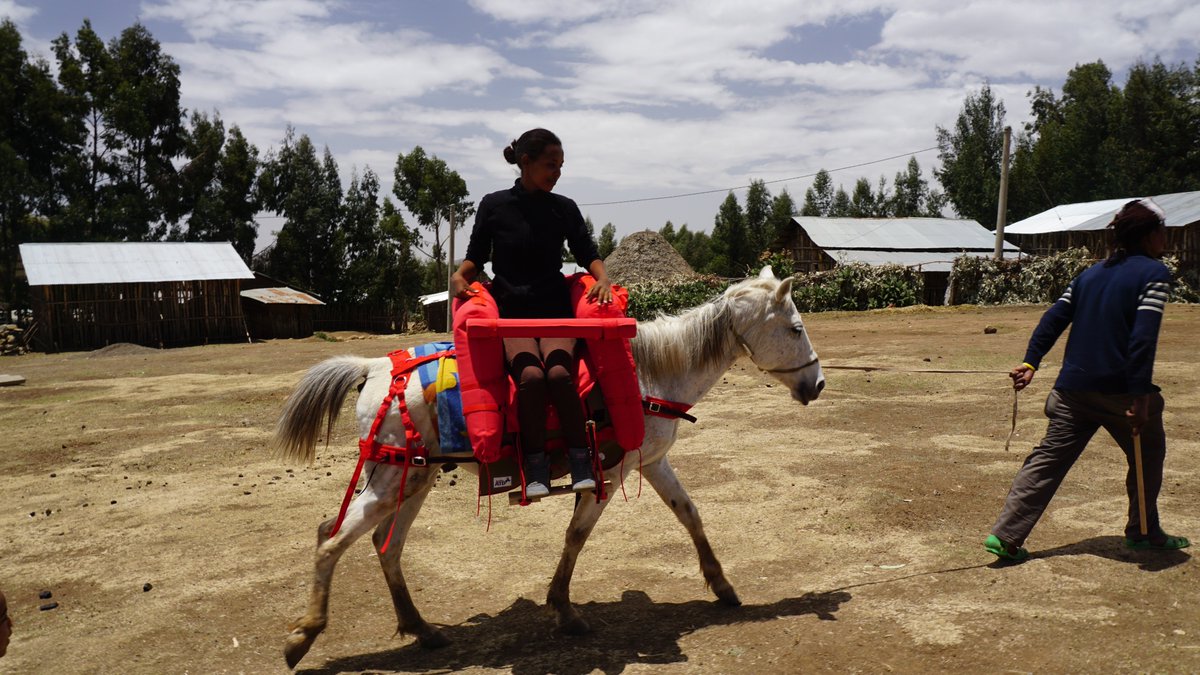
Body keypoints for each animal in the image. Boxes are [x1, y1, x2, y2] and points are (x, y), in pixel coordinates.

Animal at [274, 266, 825, 668]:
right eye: (796, 328)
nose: (817, 385)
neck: (649, 374)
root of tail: (375, 368)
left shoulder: (651, 462)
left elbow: (690, 515)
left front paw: (722, 586)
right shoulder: (611, 474)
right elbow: (576, 535)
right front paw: (563, 610)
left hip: (415, 478)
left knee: (385, 546)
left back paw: (423, 630)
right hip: (393, 480)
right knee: (331, 540)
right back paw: (303, 636)